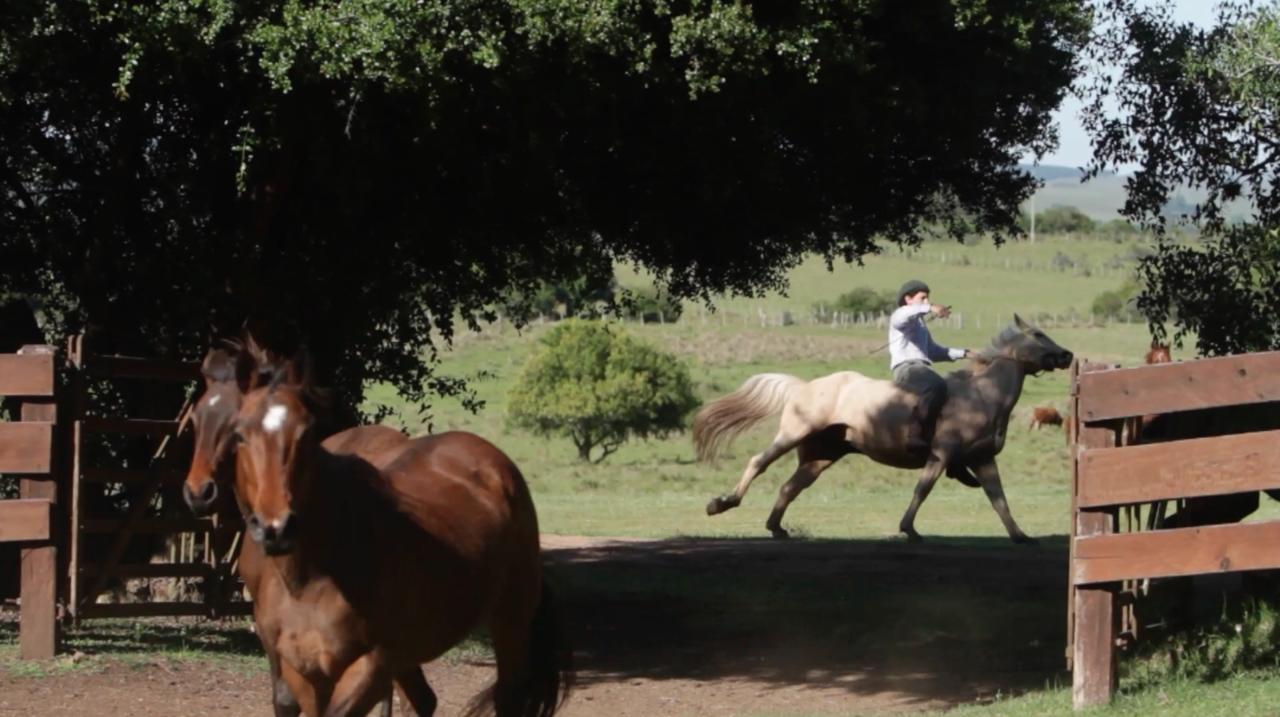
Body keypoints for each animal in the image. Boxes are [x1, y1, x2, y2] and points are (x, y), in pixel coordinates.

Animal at [230, 376, 570, 717]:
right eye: (240, 435)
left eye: (307, 433)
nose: (276, 528)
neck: (311, 580)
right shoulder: (299, 672)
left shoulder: (371, 667)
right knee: (423, 699)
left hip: (510, 621)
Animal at [696, 316, 1075, 540]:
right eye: (1038, 334)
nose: (1068, 356)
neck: (981, 395)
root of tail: (804, 386)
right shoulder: (940, 456)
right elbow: (922, 490)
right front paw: (909, 529)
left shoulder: (983, 460)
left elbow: (999, 500)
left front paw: (1020, 535)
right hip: (793, 434)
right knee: (758, 463)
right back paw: (721, 504)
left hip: (821, 456)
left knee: (791, 487)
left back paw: (776, 528)